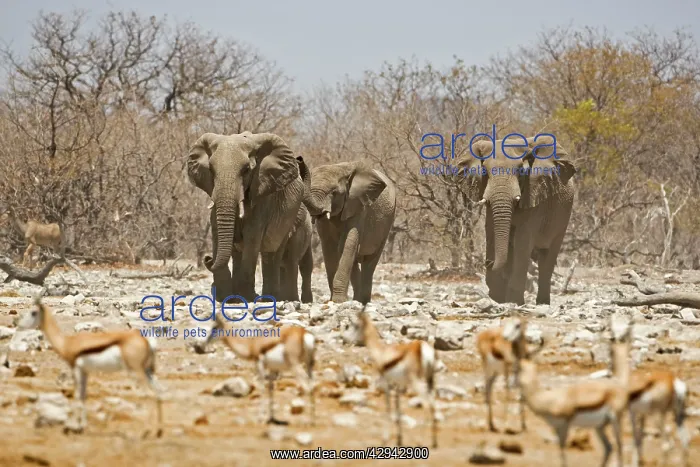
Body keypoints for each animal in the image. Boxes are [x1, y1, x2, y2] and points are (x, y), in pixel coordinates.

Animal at [186, 131, 306, 303]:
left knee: (272, 252)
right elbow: (217, 233)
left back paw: (268, 298)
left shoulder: (262, 194)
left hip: (290, 216)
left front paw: (247, 297)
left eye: (246, 170)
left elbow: (252, 237)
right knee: (239, 254)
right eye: (211, 170)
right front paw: (225, 297)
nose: (207, 259)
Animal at [298, 160, 396, 304]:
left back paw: (363, 301)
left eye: (334, 192)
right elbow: (329, 249)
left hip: (387, 223)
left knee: (370, 261)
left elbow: (347, 244)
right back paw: (357, 300)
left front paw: (338, 301)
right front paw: (333, 300)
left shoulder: (359, 206)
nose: (299, 159)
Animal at [455, 134, 576, 305]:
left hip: (563, 218)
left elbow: (522, 242)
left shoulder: (534, 196)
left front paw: (515, 302)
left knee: (548, 256)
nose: (488, 263)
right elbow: (492, 234)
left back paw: (542, 303)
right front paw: (498, 298)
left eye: (520, 172)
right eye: (485, 172)